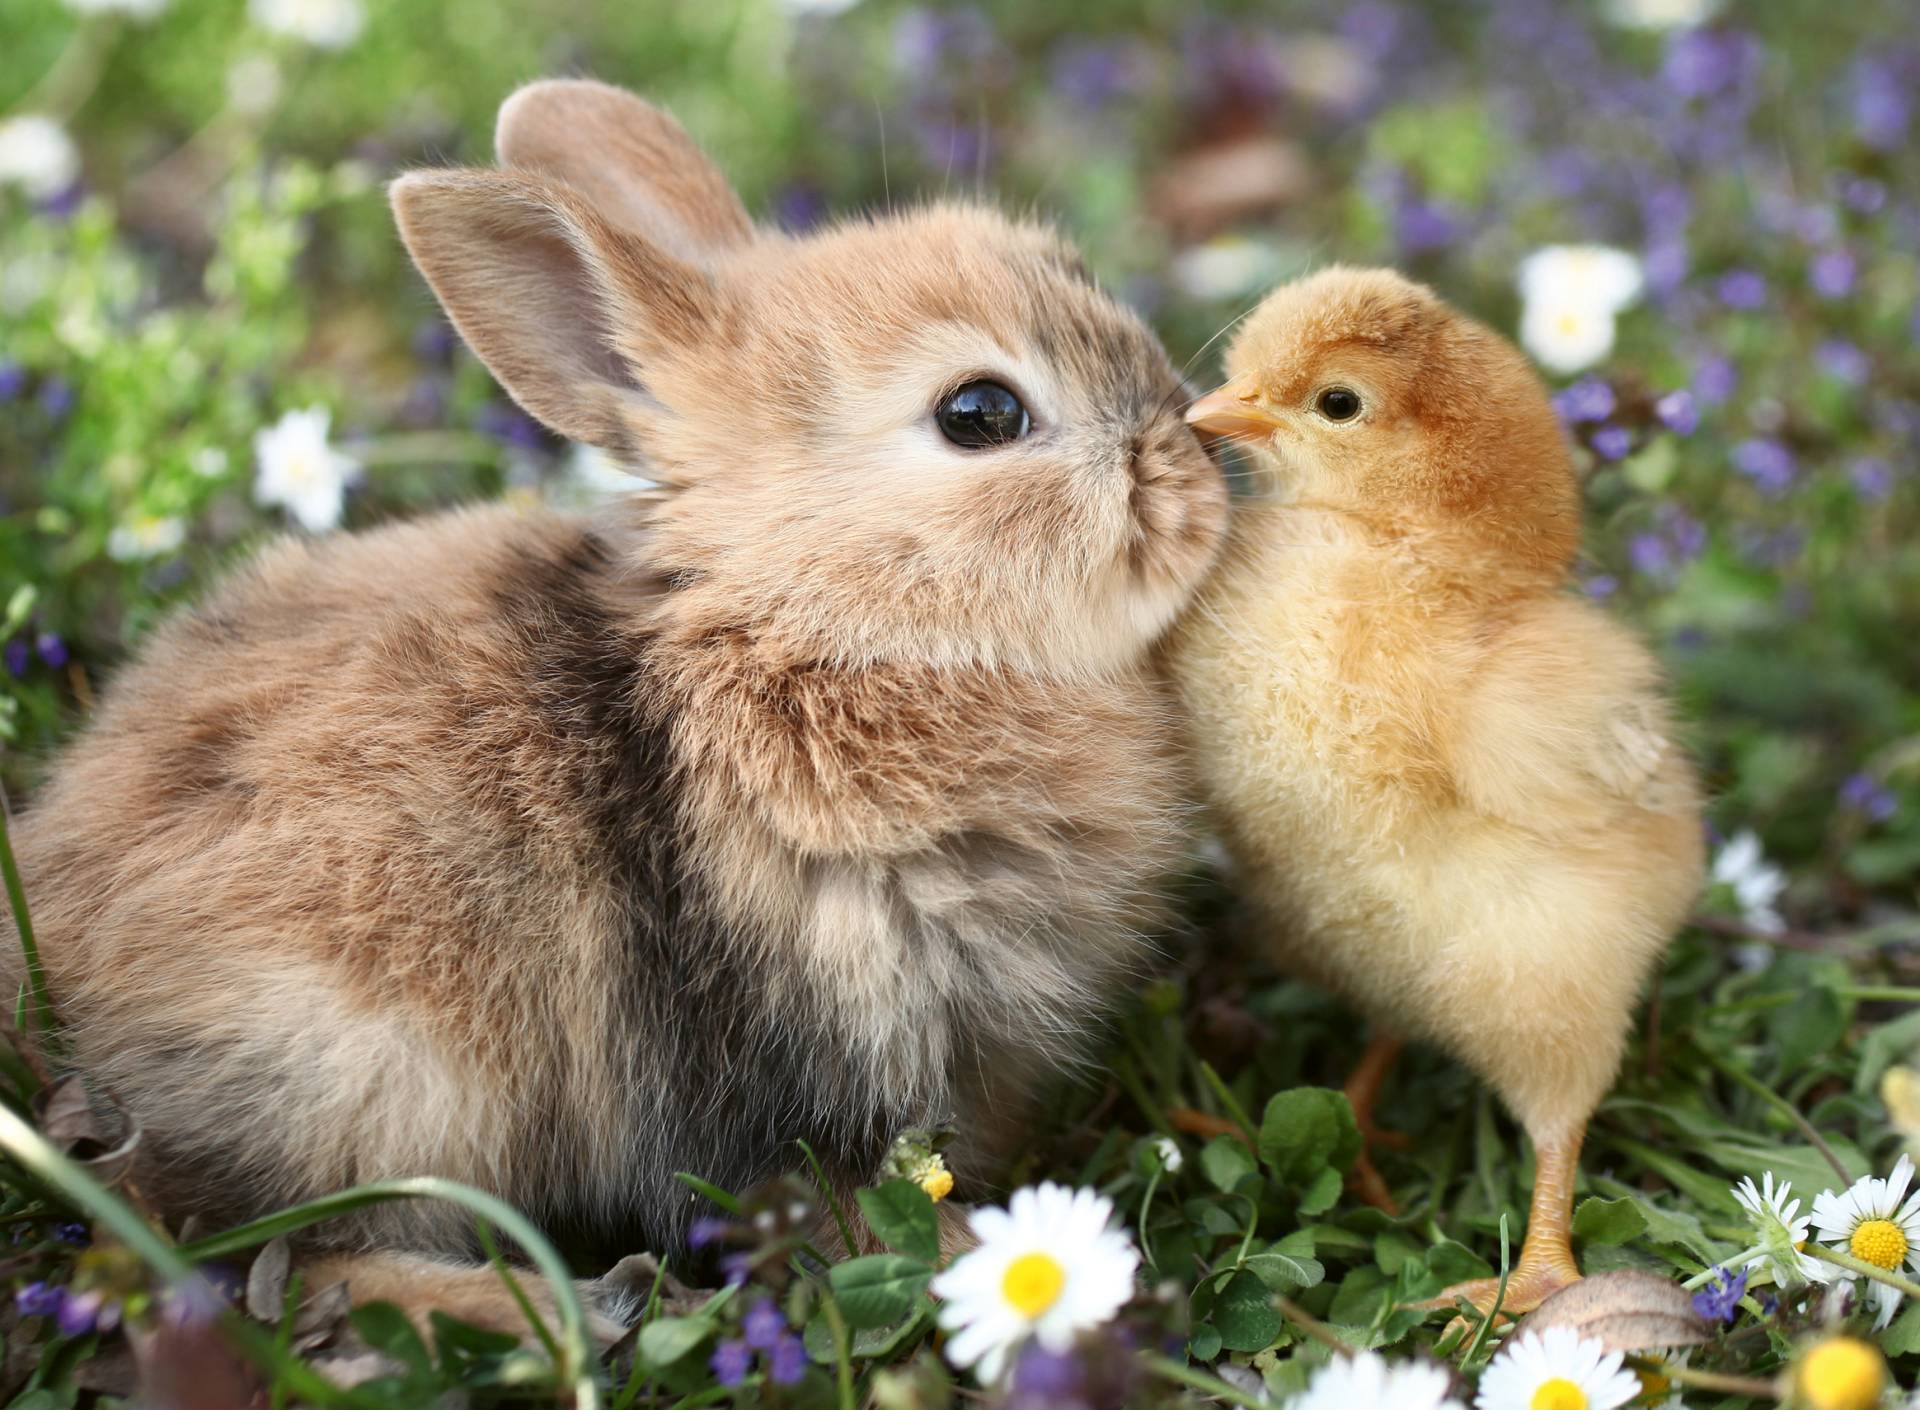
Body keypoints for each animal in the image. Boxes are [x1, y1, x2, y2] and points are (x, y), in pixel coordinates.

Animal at [3, 79, 1227, 1334]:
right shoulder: (782, 1060)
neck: (812, 625)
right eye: (980, 413)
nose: (1194, 457)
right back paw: (573, 1308)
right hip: (363, 1066)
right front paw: (1000, 1264)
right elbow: (833, 1202)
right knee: (287, 1264)